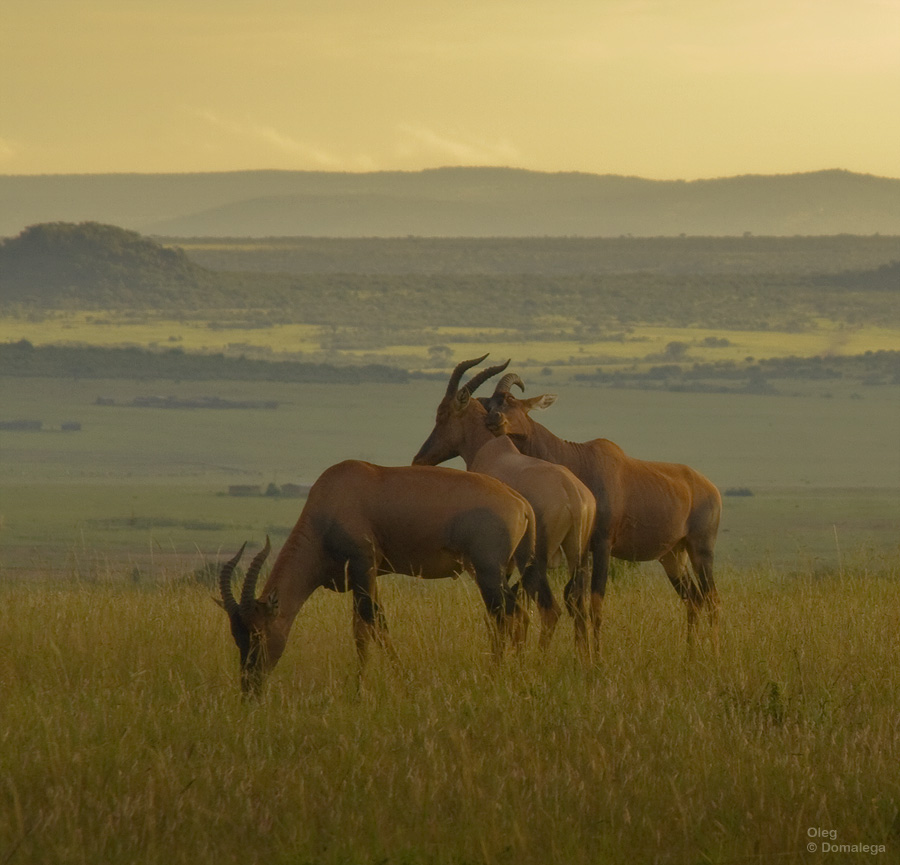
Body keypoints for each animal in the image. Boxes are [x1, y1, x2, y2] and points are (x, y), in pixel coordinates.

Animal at [216, 460, 536, 696]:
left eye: (259, 632)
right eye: (236, 635)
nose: (249, 690)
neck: (334, 498)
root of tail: (521, 503)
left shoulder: (362, 568)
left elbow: (376, 623)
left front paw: (401, 680)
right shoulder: (365, 577)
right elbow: (360, 629)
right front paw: (360, 688)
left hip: (488, 573)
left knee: (511, 614)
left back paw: (504, 676)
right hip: (500, 573)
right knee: (507, 616)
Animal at [414, 354, 596, 652]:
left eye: (442, 413)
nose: (419, 459)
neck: (494, 449)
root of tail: (572, 494)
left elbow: (497, 614)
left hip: (536, 561)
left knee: (550, 610)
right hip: (578, 556)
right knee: (578, 606)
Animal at [482, 372, 720, 656]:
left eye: (512, 400)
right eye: (490, 403)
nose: (493, 420)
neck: (580, 459)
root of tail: (711, 488)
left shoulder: (604, 544)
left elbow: (595, 601)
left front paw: (596, 658)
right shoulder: (585, 548)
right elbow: (576, 600)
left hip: (701, 549)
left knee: (713, 599)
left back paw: (716, 650)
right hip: (673, 556)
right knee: (694, 599)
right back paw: (690, 654)